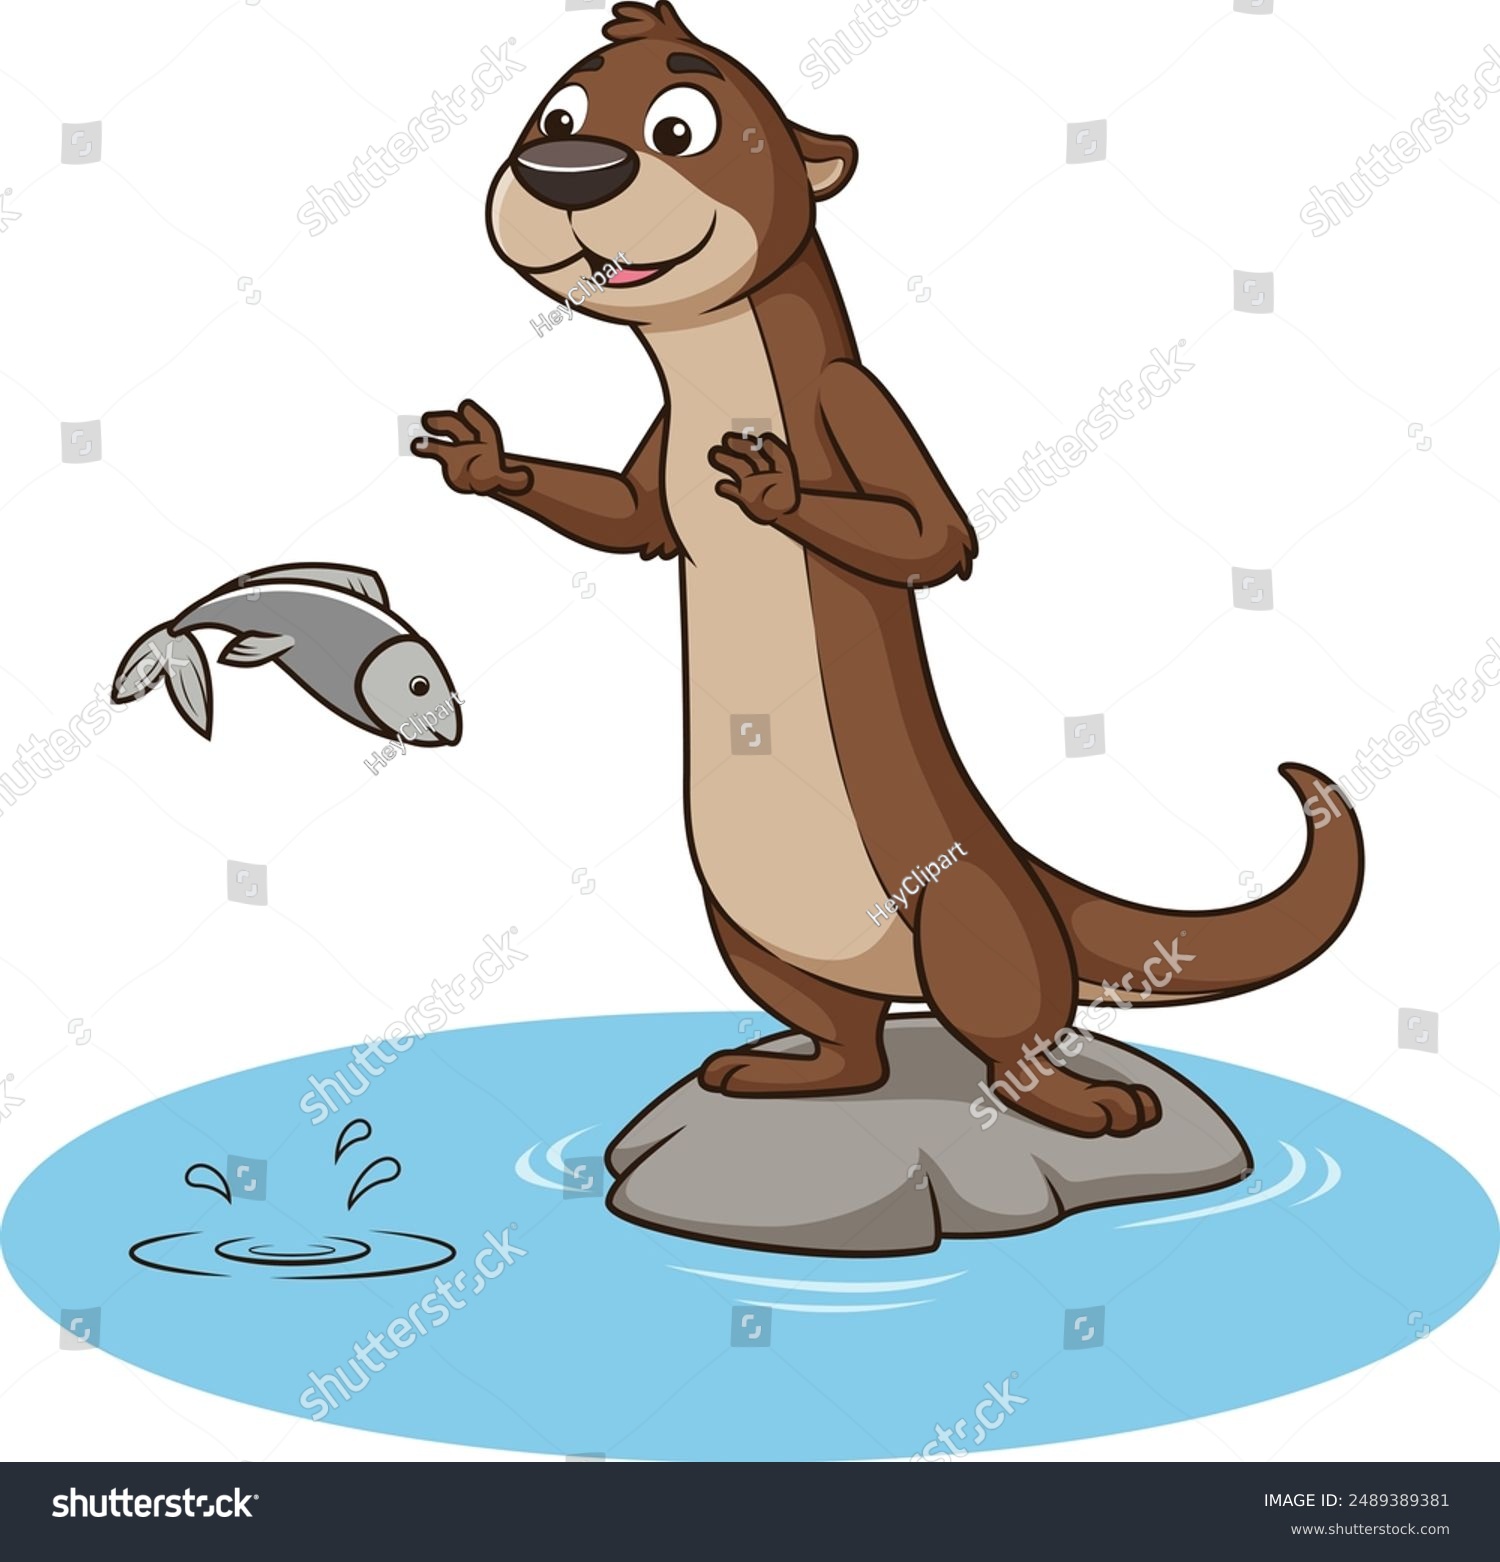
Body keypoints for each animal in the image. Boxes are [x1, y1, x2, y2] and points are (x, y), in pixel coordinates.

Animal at [416, 2, 1363, 1137]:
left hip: (966, 905)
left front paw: (775, 491)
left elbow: (936, 538)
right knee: (849, 1039)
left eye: (680, 126)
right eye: (558, 112)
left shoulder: (852, 395)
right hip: (745, 927)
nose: (566, 169)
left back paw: (1080, 1101)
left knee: (1011, 1020)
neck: (723, 379)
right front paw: (484, 458)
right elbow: (634, 518)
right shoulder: (663, 444)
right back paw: (790, 1070)